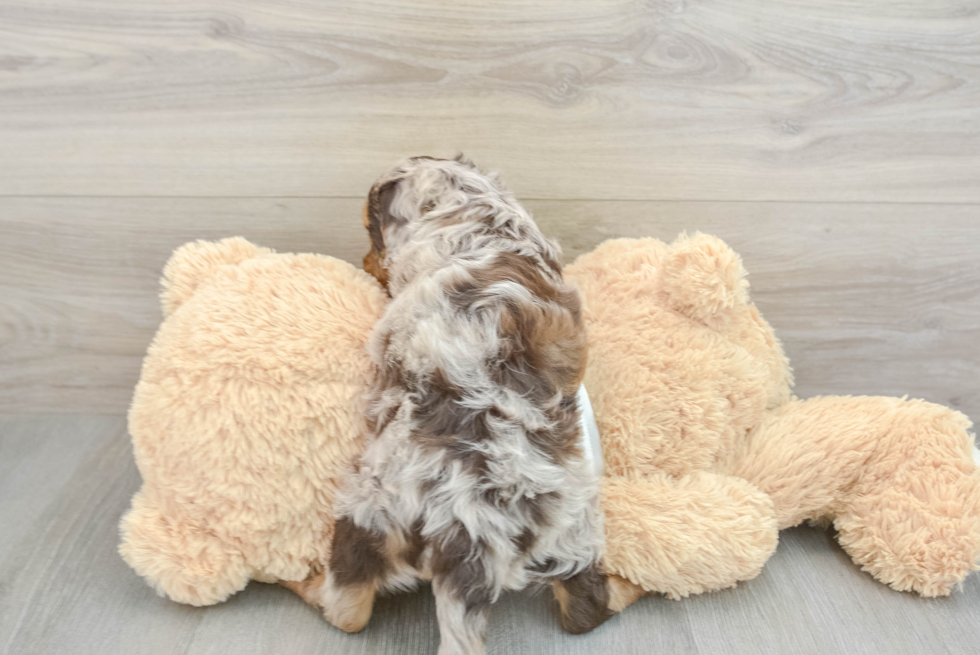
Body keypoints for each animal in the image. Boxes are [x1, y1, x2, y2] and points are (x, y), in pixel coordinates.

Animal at [288, 156, 616, 652]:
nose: (364, 264)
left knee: (348, 610)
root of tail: (472, 544)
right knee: (588, 610)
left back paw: (304, 584)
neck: (478, 216)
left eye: (368, 228)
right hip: (575, 535)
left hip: (366, 512)